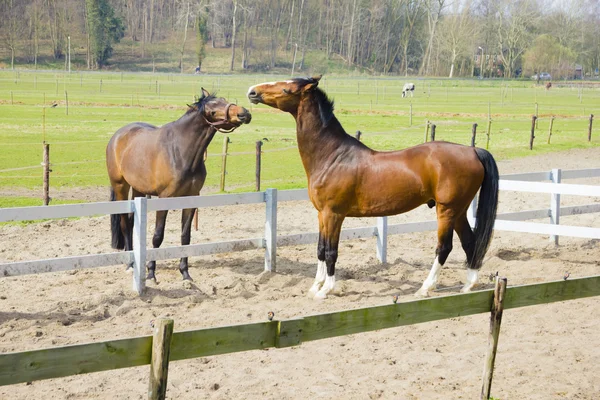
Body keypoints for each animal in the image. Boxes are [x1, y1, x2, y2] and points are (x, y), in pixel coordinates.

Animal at [105, 88, 251, 282]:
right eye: (212, 110)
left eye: (224, 100)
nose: (244, 113)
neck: (180, 151)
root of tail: (117, 136)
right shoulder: (164, 198)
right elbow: (158, 236)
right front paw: (151, 272)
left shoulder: (191, 198)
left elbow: (185, 236)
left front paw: (185, 272)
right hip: (121, 186)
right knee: (124, 224)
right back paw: (130, 264)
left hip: (138, 190)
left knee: (132, 221)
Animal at [246, 76, 500, 298]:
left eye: (287, 89)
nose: (252, 92)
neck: (332, 155)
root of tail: (473, 150)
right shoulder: (321, 214)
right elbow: (319, 249)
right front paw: (315, 287)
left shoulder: (334, 215)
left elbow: (331, 252)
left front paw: (327, 290)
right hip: (458, 211)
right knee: (470, 242)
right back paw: (468, 286)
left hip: (446, 210)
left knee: (444, 248)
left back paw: (425, 288)